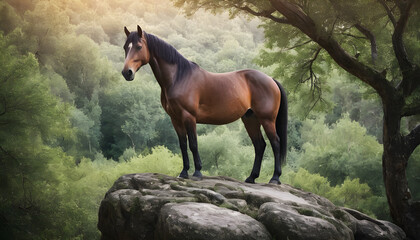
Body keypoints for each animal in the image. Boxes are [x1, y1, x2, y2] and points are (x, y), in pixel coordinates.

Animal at [120, 25, 288, 184]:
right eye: (125, 47)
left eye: (139, 47)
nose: (127, 73)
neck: (179, 77)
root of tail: (271, 79)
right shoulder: (175, 119)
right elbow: (183, 144)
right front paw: (184, 172)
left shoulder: (189, 117)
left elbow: (193, 144)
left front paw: (197, 172)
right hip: (250, 119)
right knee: (260, 145)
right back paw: (251, 177)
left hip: (267, 119)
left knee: (275, 143)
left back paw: (275, 178)